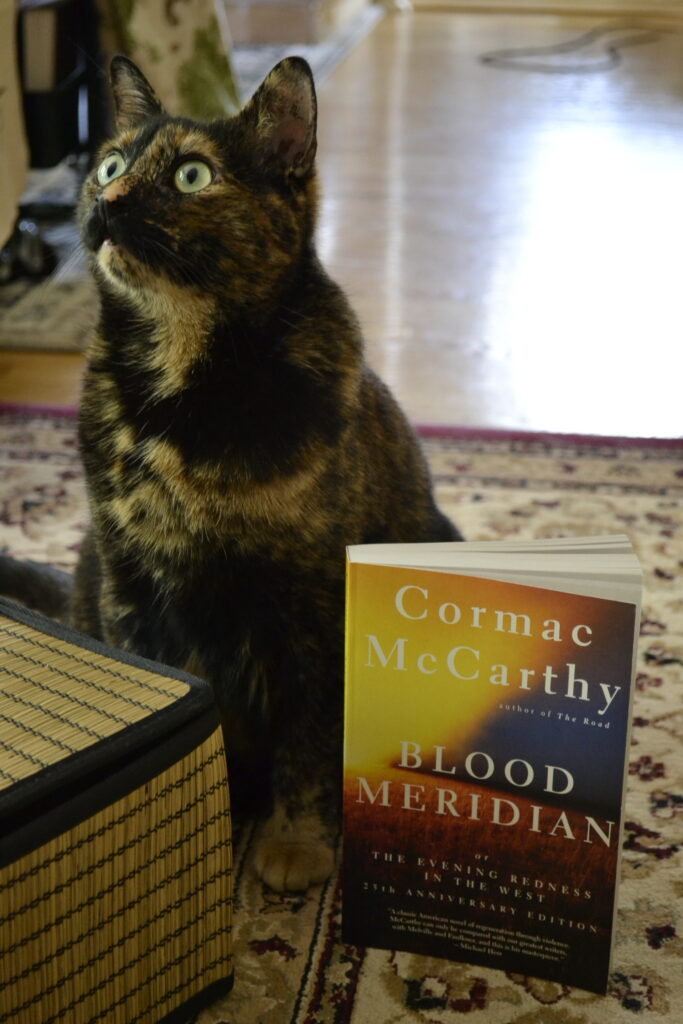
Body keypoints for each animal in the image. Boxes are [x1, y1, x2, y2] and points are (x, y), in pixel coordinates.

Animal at [2, 56, 462, 888]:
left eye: (192, 175)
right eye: (109, 165)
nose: (109, 201)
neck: (175, 397)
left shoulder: (312, 601)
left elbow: (311, 736)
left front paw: (294, 843)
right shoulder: (130, 581)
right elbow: (170, 693)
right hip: (89, 563)